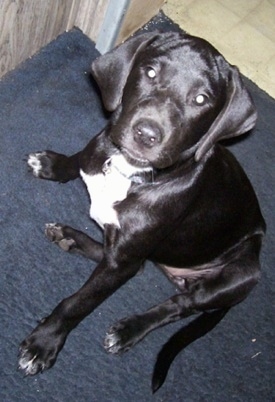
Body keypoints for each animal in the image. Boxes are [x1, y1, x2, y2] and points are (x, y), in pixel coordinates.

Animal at [18, 33, 266, 392]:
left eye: (201, 98)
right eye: (149, 72)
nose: (146, 134)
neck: (132, 173)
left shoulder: (122, 260)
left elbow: (80, 301)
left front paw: (45, 342)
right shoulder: (100, 151)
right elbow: (81, 159)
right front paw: (54, 164)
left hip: (241, 272)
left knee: (179, 304)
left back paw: (129, 330)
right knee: (130, 265)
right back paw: (70, 237)